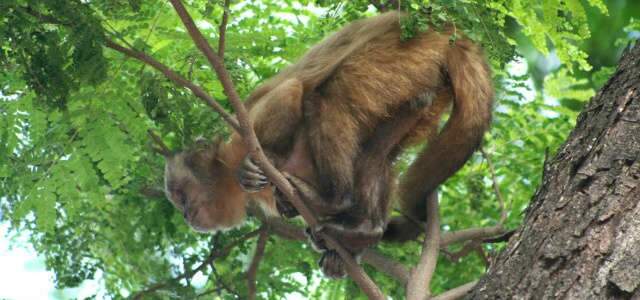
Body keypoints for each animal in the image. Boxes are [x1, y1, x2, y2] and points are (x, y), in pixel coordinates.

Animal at [162, 11, 492, 278]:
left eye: (180, 196)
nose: (185, 215)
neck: (226, 167)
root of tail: (444, 31)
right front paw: (341, 252)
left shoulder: (244, 129)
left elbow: (290, 93)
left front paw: (260, 165)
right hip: (426, 89)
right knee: (382, 150)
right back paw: (365, 230)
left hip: (401, 55)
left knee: (326, 97)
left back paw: (334, 201)